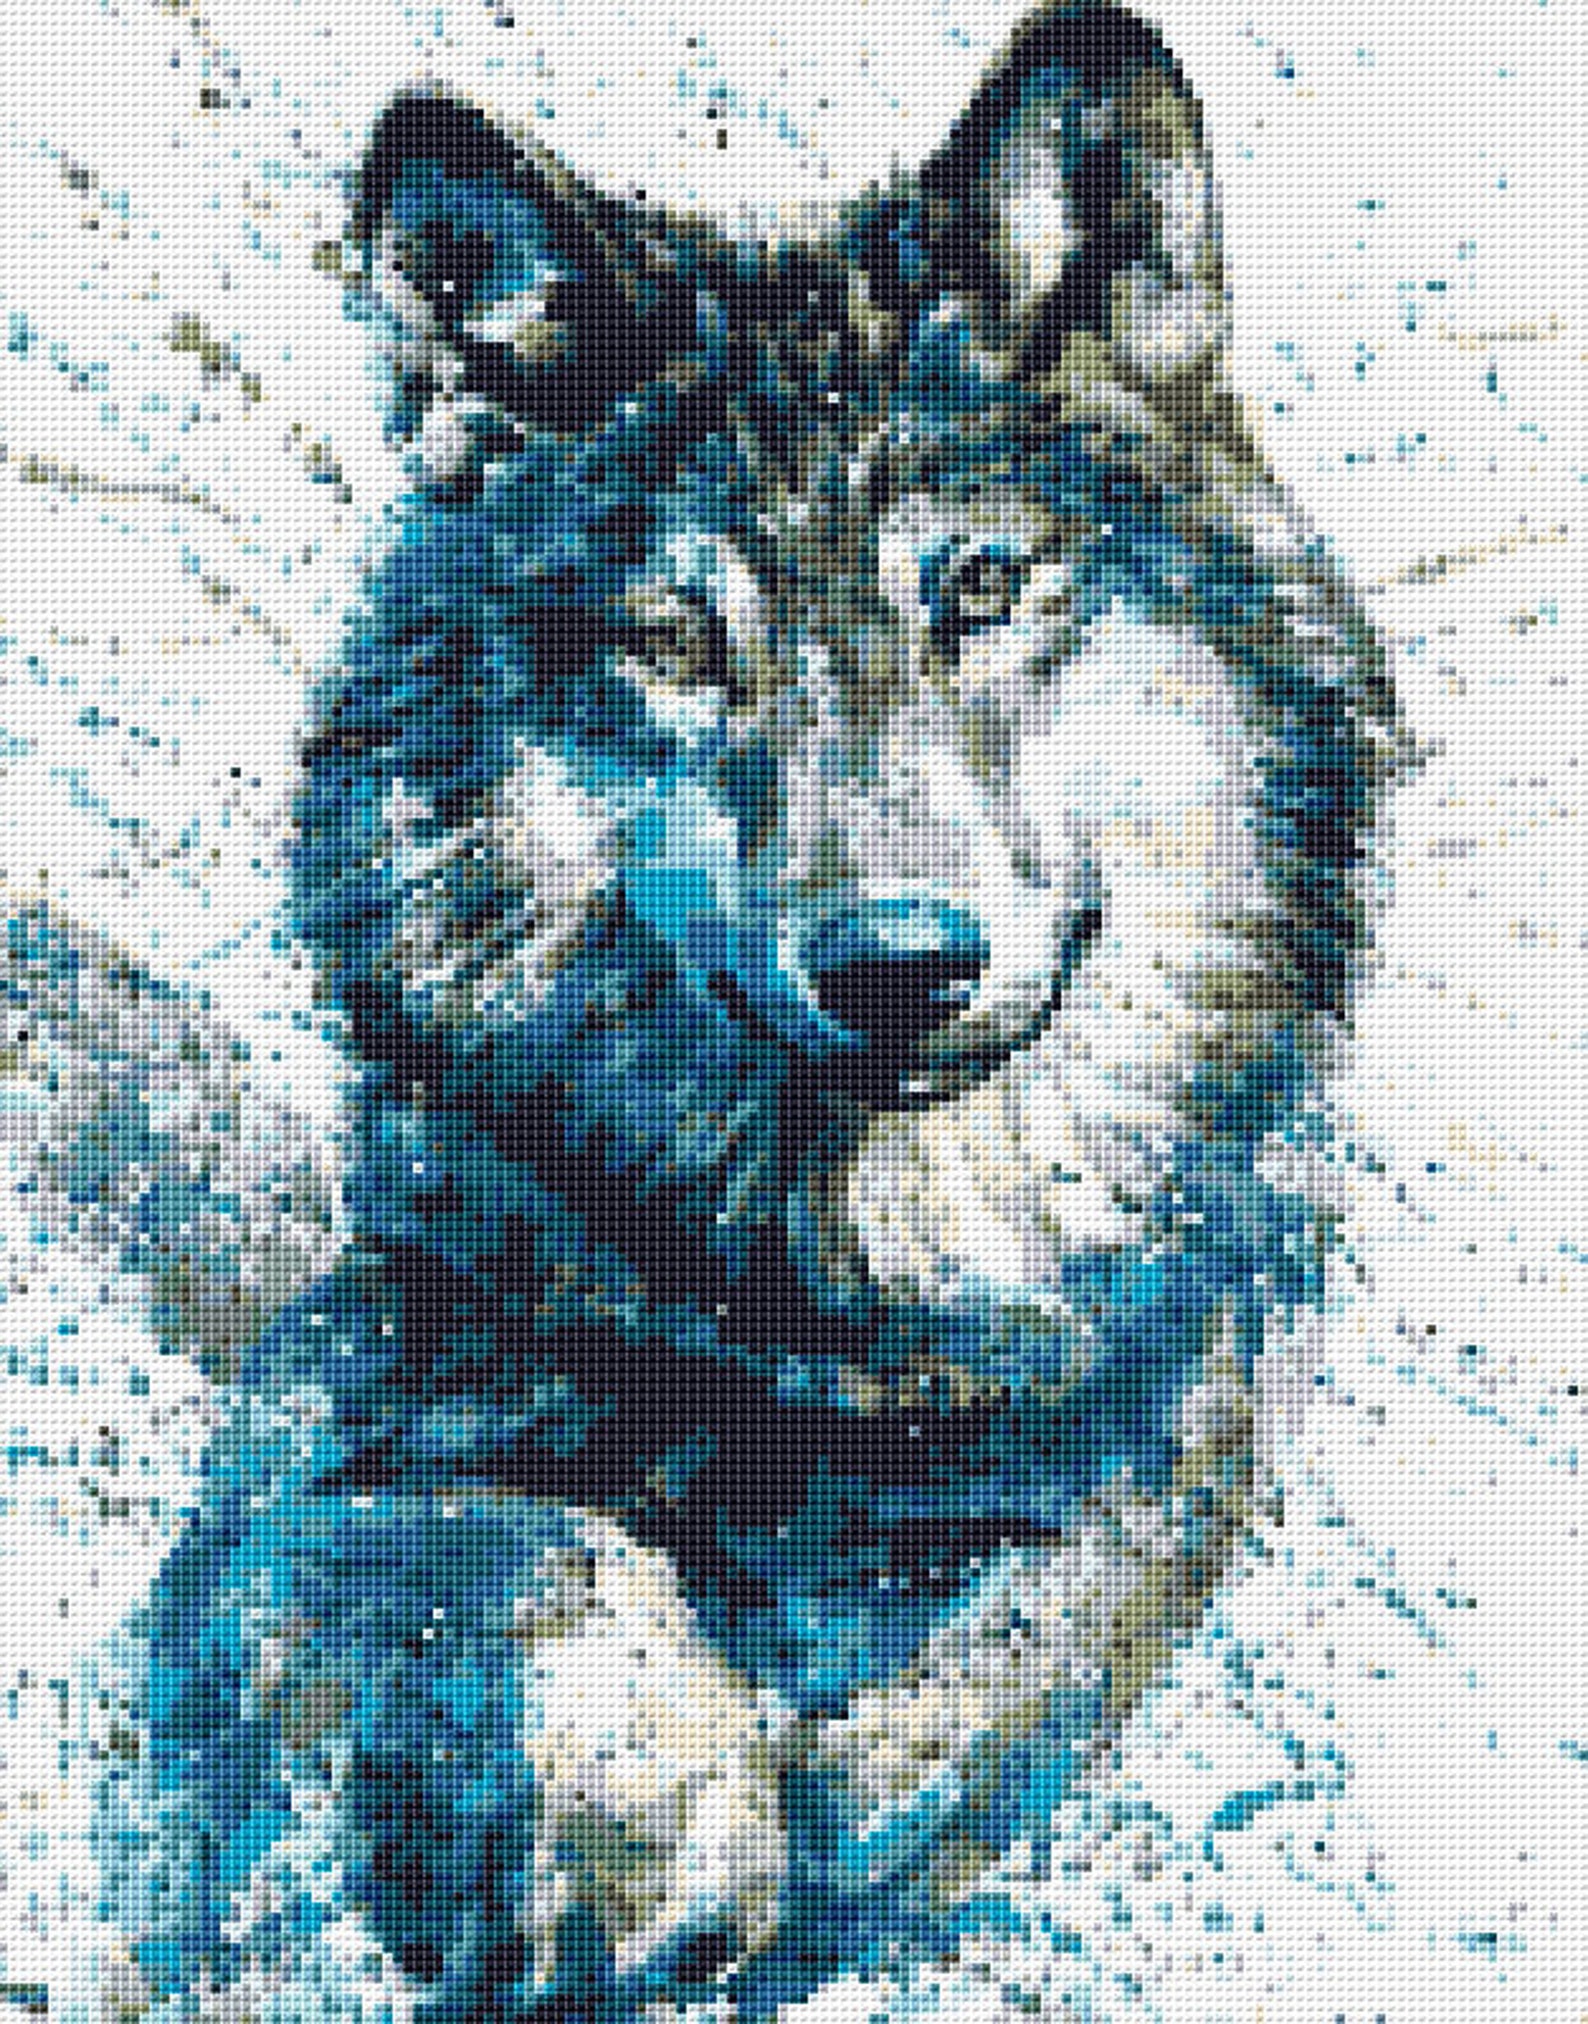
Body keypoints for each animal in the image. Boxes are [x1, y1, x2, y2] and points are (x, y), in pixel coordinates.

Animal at [100, 3, 1396, 2015]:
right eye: (675, 639)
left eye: (982, 587)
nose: (899, 963)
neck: (852, 1322)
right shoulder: (307, 1459)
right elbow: (504, 1541)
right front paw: (666, 1814)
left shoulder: (1172, 1433)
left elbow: (1036, 1634)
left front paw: (839, 1807)